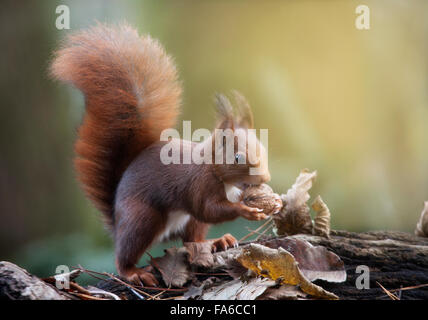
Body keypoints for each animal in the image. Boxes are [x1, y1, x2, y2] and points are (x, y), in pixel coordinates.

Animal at [50, 24, 270, 284]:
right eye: (237, 158)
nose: (265, 178)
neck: (214, 168)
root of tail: (116, 218)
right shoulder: (199, 184)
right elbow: (209, 209)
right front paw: (246, 210)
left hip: (187, 222)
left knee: (192, 239)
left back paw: (218, 241)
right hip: (142, 219)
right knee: (126, 252)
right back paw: (133, 272)